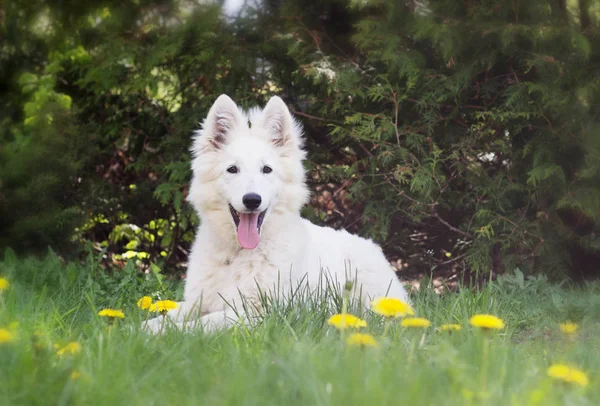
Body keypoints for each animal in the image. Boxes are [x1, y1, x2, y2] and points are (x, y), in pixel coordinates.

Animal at [143, 94, 410, 334]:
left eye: (267, 170)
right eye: (232, 169)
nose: (252, 200)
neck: (238, 255)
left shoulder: (256, 314)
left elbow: (196, 324)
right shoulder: (198, 302)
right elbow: (163, 316)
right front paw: (139, 329)